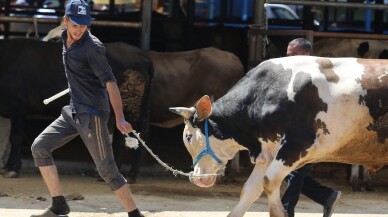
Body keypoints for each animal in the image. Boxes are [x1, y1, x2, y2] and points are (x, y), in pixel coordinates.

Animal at [170, 56, 388, 217]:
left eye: (188, 137)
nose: (198, 178)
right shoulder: (268, 152)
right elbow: (249, 190)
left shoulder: (296, 147)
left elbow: (269, 182)